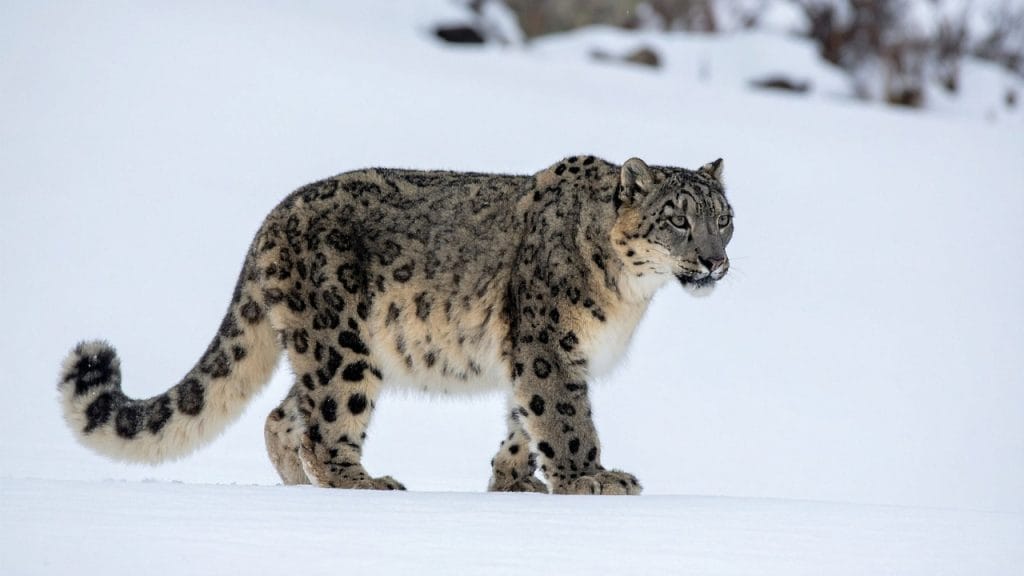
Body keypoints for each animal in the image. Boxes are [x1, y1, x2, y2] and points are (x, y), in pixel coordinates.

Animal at [58, 155, 734, 495]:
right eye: (677, 218)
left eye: (723, 218)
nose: (713, 259)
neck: (630, 295)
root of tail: (272, 218)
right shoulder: (547, 345)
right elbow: (564, 417)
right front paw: (590, 478)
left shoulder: (535, 353)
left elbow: (523, 418)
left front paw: (512, 481)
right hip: (341, 347)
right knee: (326, 424)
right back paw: (361, 483)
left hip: (326, 349)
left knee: (283, 414)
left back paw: (296, 486)